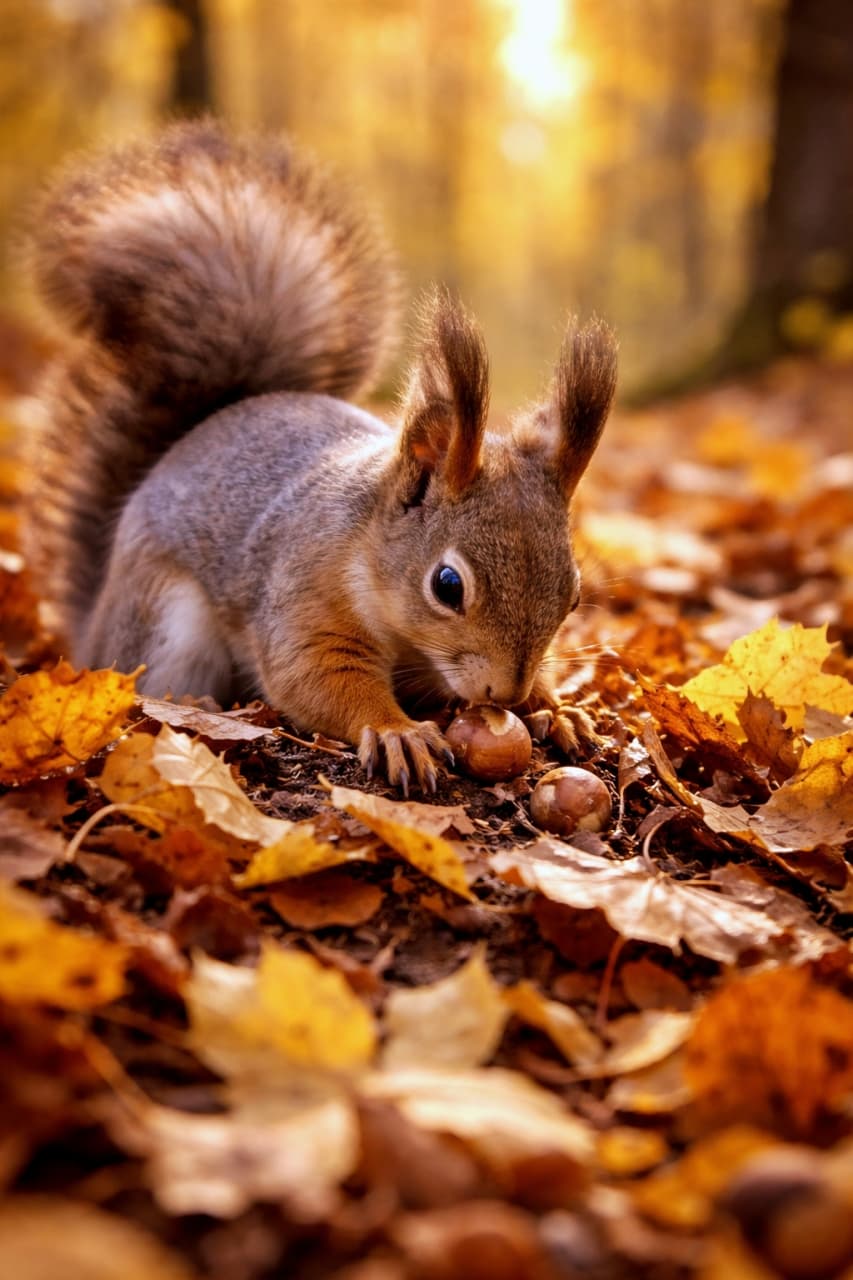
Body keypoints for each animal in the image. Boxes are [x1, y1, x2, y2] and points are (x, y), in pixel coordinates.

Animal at [26, 119, 617, 793]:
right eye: (446, 585)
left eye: (574, 596)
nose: (508, 695)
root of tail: (94, 627)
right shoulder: (304, 589)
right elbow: (315, 675)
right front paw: (396, 731)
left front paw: (558, 708)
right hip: (164, 623)